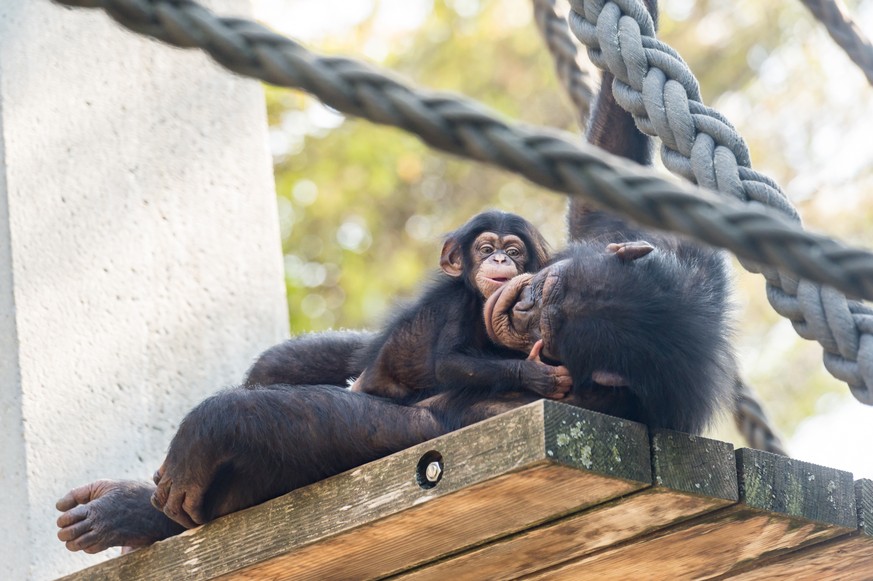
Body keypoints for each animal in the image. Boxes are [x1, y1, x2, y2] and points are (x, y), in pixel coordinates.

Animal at [348, 210, 572, 404]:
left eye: (513, 252)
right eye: (486, 250)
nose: (500, 258)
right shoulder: (458, 302)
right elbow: (448, 362)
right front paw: (536, 374)